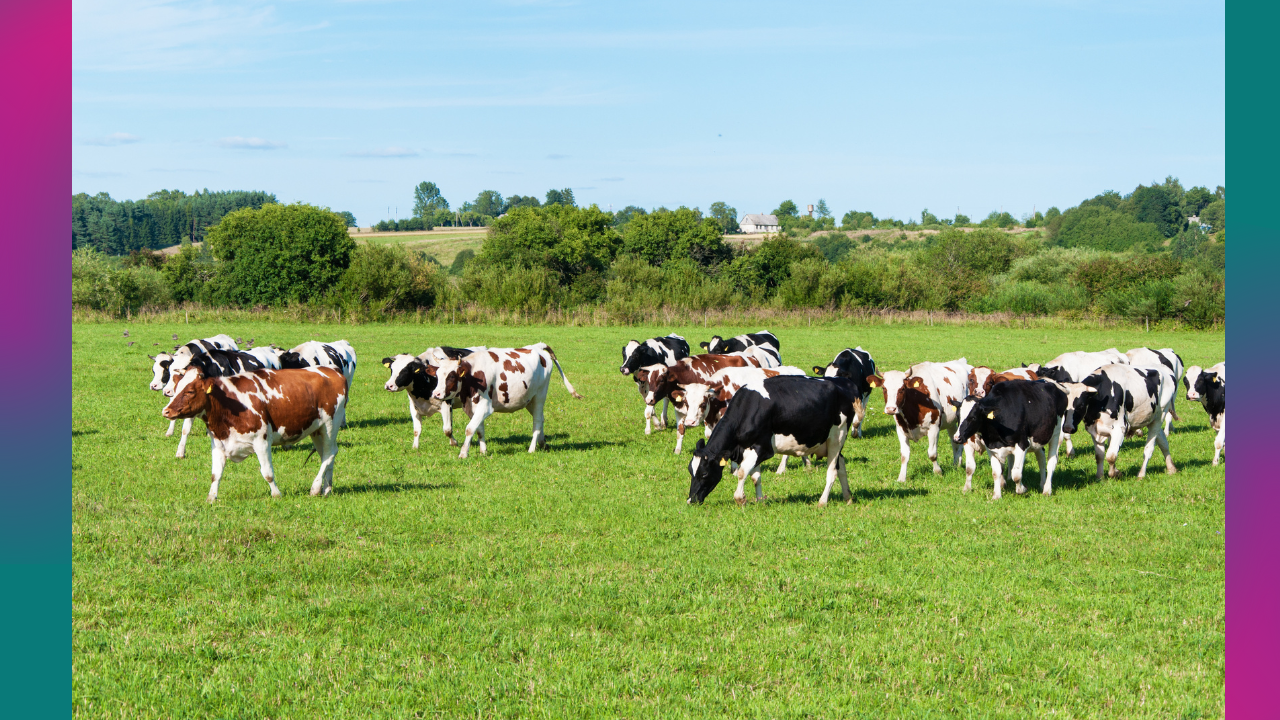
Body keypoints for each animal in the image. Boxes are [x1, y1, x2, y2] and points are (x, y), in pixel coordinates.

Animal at [160, 363, 350, 499]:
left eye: (190, 391)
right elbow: (216, 474)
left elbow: (267, 473)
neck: (228, 405)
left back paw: (315, 488)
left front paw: (276, 495)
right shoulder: (219, 443)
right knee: (326, 455)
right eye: (176, 388)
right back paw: (327, 489)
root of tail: (332, 370)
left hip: (331, 424)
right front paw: (211, 498)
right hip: (316, 430)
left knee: (330, 453)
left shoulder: (262, 441)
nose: (166, 411)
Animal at [435, 340, 586, 453]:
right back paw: (542, 443)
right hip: (529, 399)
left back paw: (532, 449)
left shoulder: (485, 406)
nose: (436, 394)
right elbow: (479, 429)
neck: (473, 374)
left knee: (537, 421)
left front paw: (463, 453)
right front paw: (483, 451)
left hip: (540, 396)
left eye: (452, 376)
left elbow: (470, 429)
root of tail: (538, 346)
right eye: (437, 375)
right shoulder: (471, 407)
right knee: (541, 418)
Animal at [686, 376, 855, 504]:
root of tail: (843, 383)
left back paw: (822, 502)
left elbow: (742, 472)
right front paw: (760, 500)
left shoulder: (763, 449)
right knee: (841, 466)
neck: (749, 408)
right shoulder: (749, 448)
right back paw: (847, 497)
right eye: (690, 471)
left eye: (704, 474)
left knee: (832, 471)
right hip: (828, 443)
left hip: (837, 437)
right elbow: (755, 477)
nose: (690, 500)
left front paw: (740, 499)